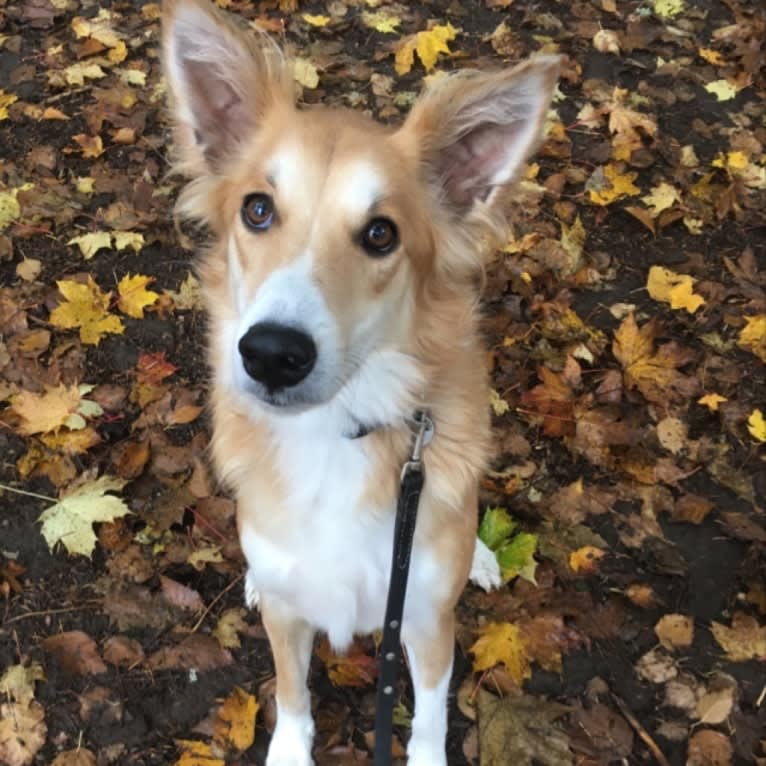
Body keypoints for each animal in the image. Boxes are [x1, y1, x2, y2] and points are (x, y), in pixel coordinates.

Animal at [162, 3, 560, 764]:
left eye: (381, 234)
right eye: (257, 210)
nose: (272, 354)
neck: (334, 435)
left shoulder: (426, 619)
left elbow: (429, 715)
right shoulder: (291, 613)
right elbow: (292, 692)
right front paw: (290, 750)